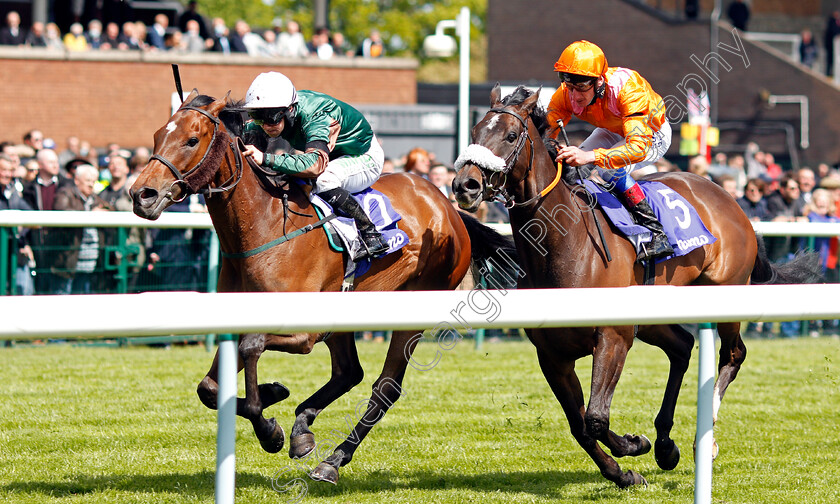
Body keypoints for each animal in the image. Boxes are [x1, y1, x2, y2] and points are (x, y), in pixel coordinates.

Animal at [131, 89, 516, 484]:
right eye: (158, 136)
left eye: (192, 140)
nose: (141, 194)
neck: (266, 226)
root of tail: (447, 206)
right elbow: (208, 388)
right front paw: (274, 399)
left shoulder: (305, 332)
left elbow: (252, 348)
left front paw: (269, 422)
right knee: (349, 372)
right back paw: (303, 429)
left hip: (412, 309)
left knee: (385, 387)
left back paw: (332, 459)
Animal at [452, 84, 820, 486]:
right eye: (474, 132)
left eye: (510, 135)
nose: (464, 185)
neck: (567, 245)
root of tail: (731, 200)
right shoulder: (552, 355)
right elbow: (580, 425)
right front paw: (624, 472)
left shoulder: (613, 337)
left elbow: (596, 418)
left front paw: (633, 444)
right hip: (654, 310)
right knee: (682, 346)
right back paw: (665, 444)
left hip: (725, 290)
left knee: (733, 354)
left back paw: (703, 440)